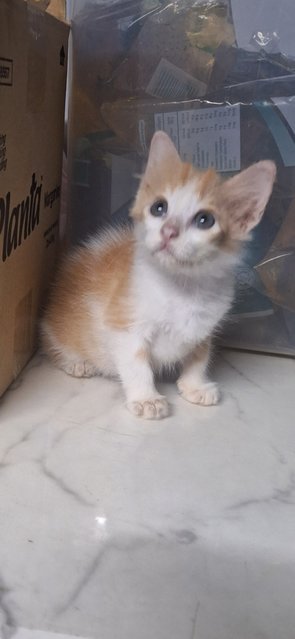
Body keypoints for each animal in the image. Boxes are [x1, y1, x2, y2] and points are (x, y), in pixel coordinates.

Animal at [42, 131, 278, 420]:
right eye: (159, 208)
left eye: (205, 220)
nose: (168, 231)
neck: (180, 287)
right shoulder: (124, 323)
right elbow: (136, 363)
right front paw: (146, 398)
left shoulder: (204, 325)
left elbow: (199, 357)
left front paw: (195, 386)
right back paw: (75, 362)